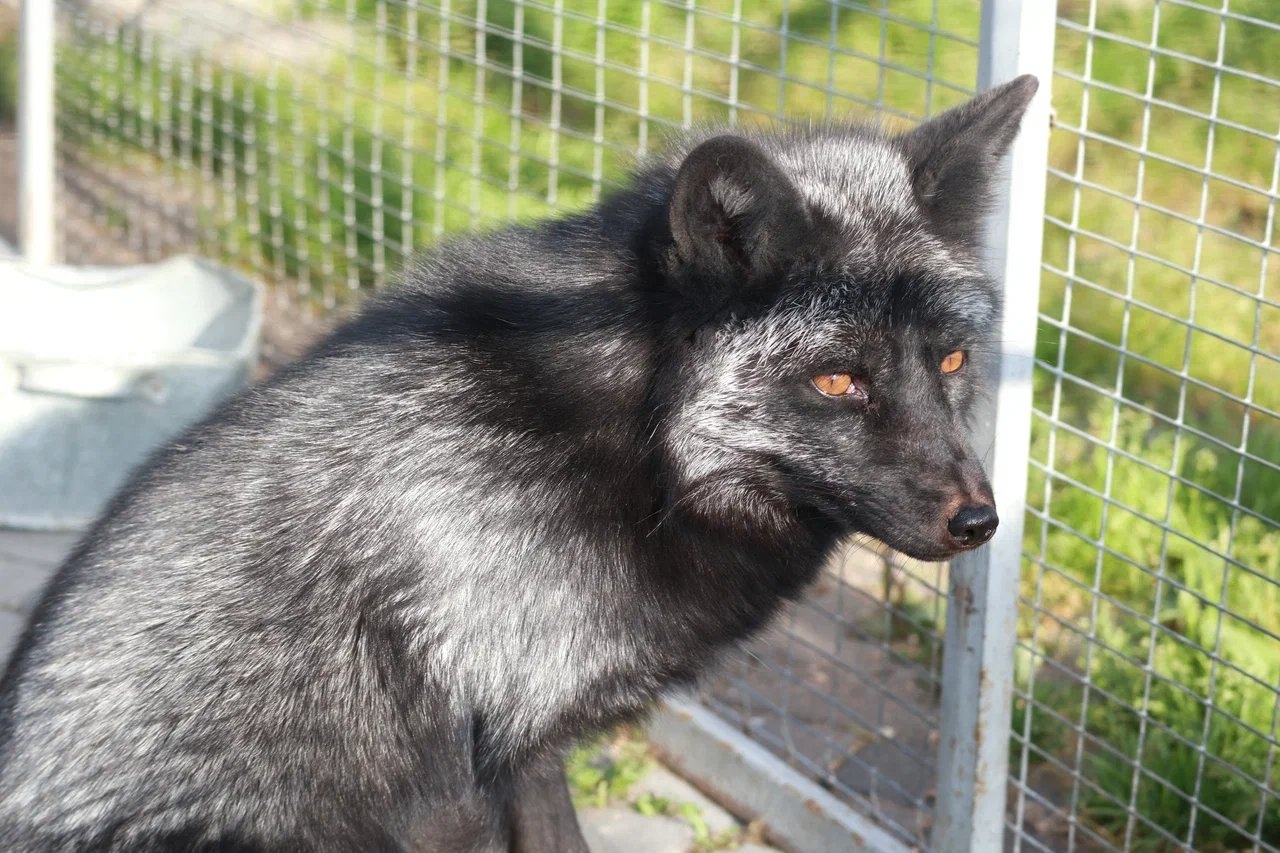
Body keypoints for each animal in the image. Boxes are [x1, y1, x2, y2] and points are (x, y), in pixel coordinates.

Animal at [0, 75, 1037, 851]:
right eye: (836, 379)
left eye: (950, 362)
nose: (980, 521)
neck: (625, 450)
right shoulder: (469, 767)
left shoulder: (528, 748)